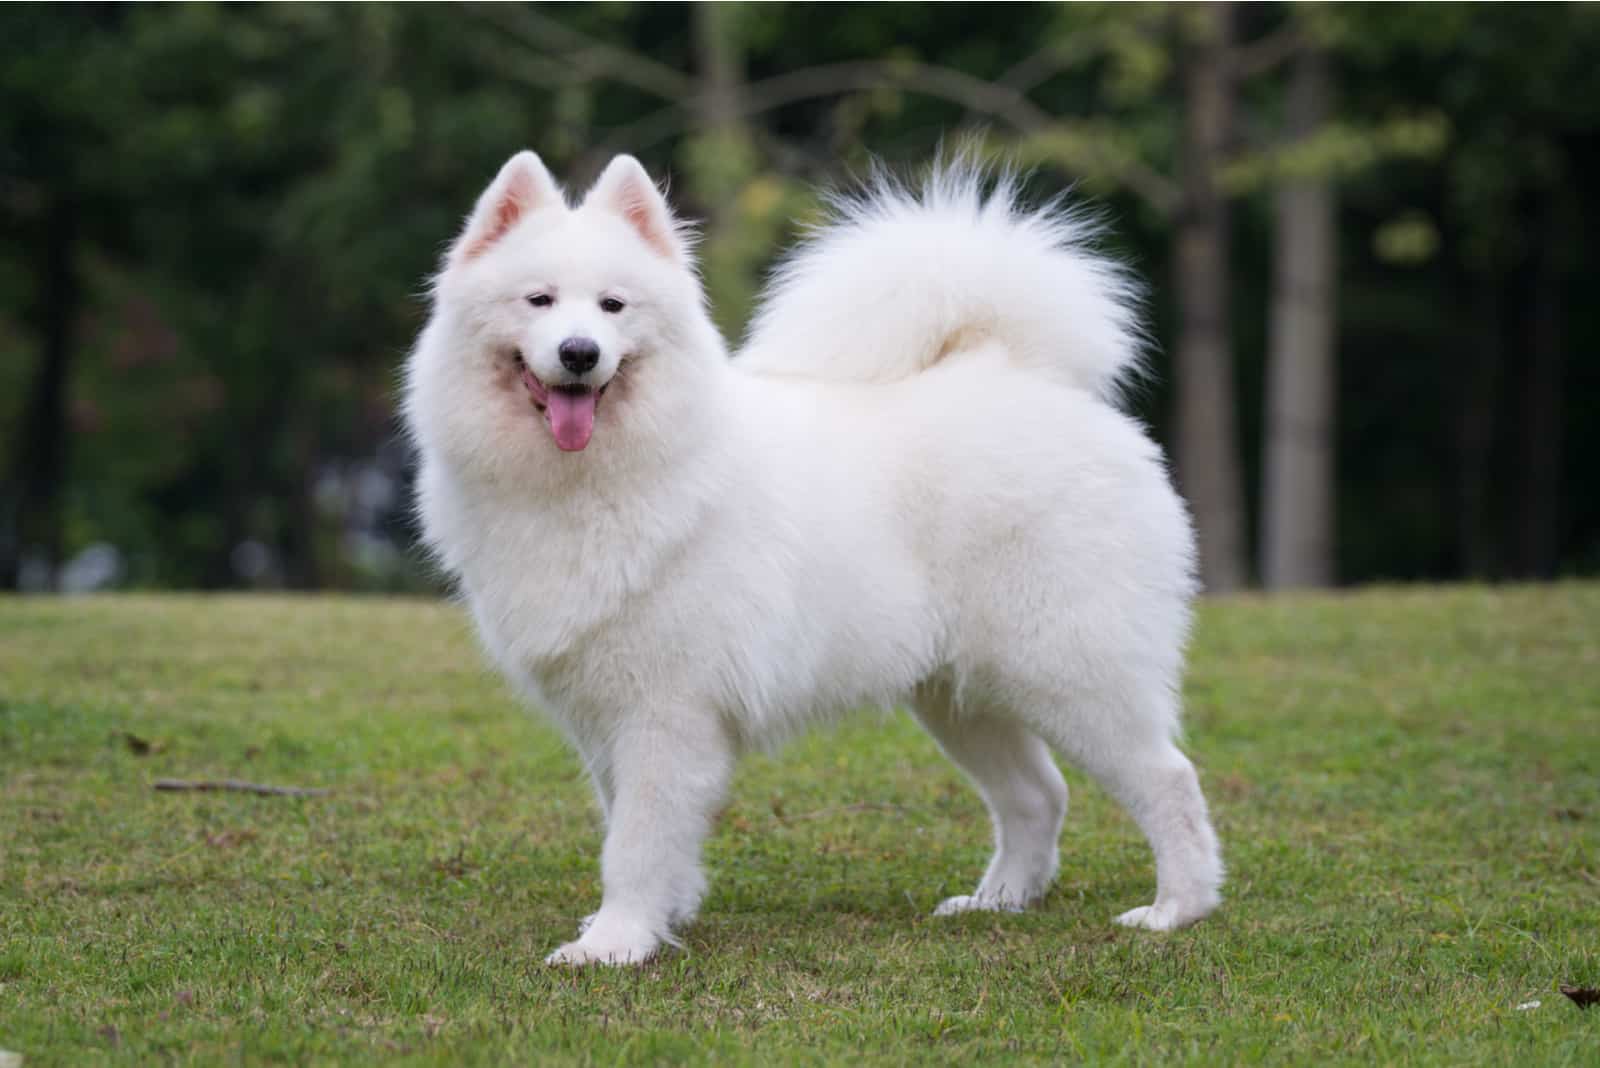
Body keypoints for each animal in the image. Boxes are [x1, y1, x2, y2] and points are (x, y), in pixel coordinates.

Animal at [403, 151, 1222, 965]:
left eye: (612, 307)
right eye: (539, 300)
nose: (580, 353)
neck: (595, 478)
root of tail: (1025, 375)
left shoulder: (666, 713)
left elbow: (632, 845)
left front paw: (614, 944)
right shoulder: (606, 718)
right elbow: (639, 833)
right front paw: (666, 915)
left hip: (1067, 669)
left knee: (1169, 779)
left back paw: (1175, 910)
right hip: (961, 695)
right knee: (1038, 795)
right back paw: (997, 902)